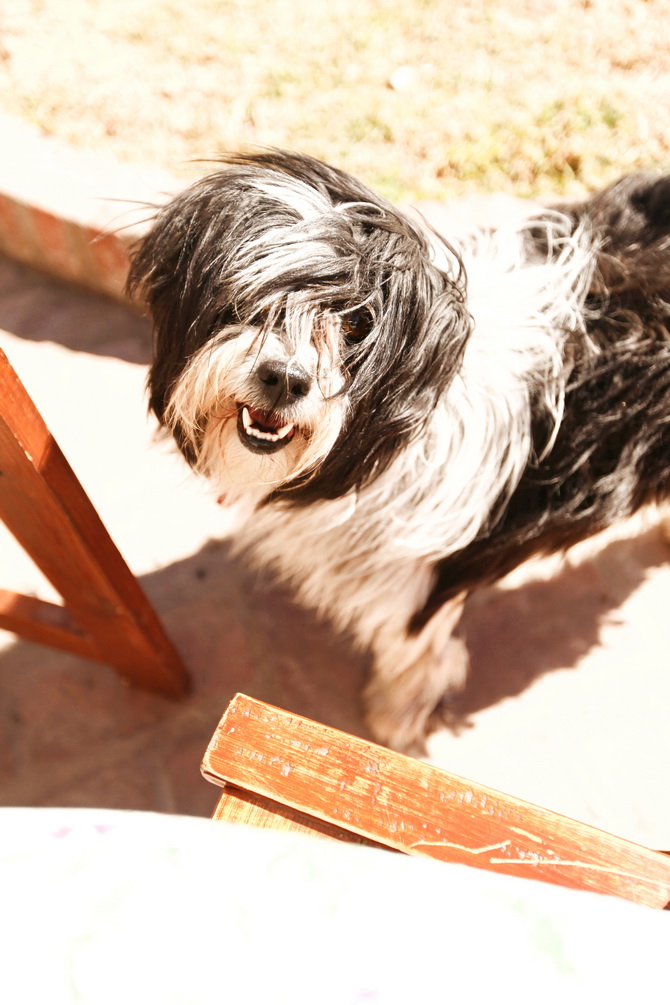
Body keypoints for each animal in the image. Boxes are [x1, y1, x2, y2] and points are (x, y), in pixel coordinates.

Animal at [128, 146, 670, 747]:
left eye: (357, 323)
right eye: (251, 295)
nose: (286, 379)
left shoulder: (429, 578)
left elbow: (415, 655)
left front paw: (395, 723)